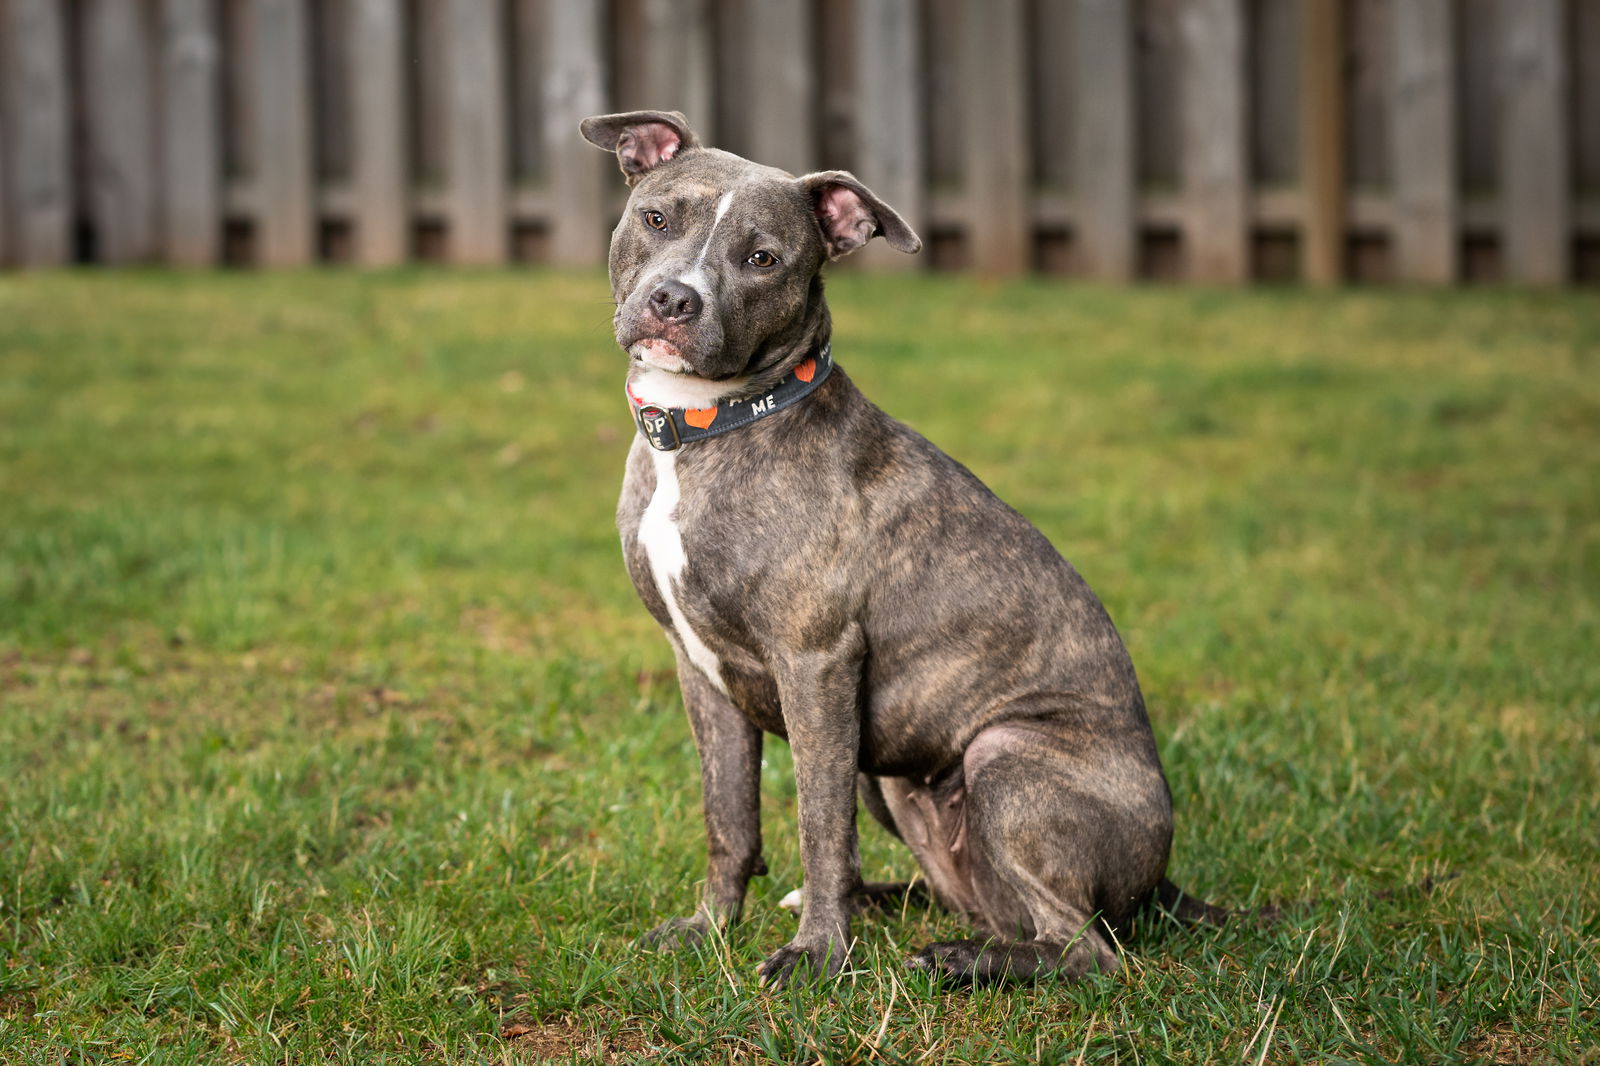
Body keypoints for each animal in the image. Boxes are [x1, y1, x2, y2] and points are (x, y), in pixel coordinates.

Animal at [585, 109, 1222, 985]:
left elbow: (818, 828)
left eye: (763, 260)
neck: (711, 426)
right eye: (656, 218)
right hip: (890, 779)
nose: (675, 299)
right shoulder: (700, 671)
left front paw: (817, 954)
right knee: (977, 900)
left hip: (1002, 757)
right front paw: (709, 928)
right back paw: (903, 914)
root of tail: (1161, 884)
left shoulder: (816, 665)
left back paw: (957, 959)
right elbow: (730, 819)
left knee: (1084, 947)